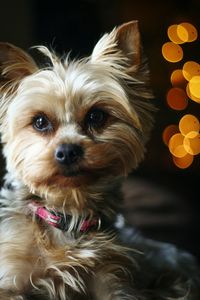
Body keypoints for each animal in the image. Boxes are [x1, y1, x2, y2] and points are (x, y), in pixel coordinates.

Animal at [0, 19, 198, 298]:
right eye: (39, 122)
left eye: (96, 116)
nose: (68, 151)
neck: (68, 215)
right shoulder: (11, 276)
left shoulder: (111, 278)